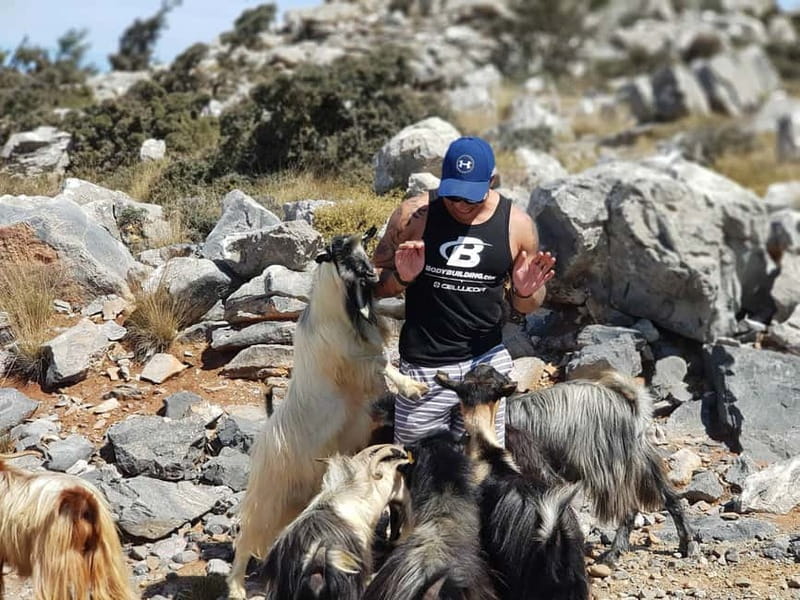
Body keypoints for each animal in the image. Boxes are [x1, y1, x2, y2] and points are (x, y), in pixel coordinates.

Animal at [455, 363, 697, 564]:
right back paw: (687, 543)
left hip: (606, 466)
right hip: (642, 462)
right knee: (670, 498)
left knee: (629, 509)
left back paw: (613, 554)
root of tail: (629, 406)